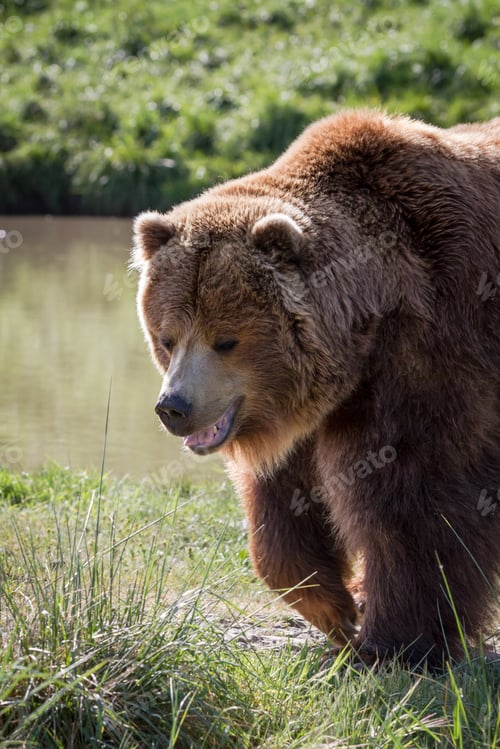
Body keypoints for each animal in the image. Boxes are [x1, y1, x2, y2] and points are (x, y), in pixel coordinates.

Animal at [132, 110, 500, 669]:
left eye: (226, 340)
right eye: (167, 336)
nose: (173, 407)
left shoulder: (436, 352)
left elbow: (416, 501)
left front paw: (395, 640)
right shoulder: (305, 411)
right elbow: (284, 508)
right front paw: (335, 608)